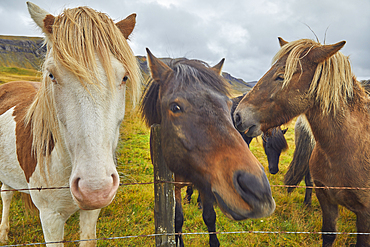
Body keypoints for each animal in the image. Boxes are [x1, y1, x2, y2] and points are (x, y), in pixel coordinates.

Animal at [0, 2, 141, 247]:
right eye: (51, 75)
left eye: (124, 77)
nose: (95, 189)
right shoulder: (50, 217)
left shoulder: (91, 213)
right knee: (6, 195)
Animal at [140, 50, 276, 247]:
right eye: (175, 107)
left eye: (228, 105)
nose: (257, 190)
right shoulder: (173, 186)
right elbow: (177, 219)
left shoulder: (206, 181)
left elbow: (210, 217)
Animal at [234, 37, 370, 247]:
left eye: (281, 76)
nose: (238, 116)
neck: (347, 148)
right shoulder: (326, 201)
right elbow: (328, 235)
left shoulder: (365, 215)